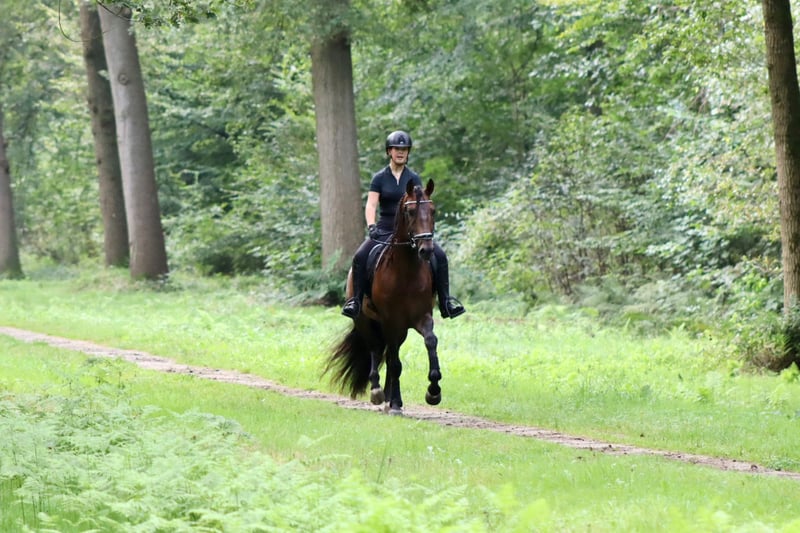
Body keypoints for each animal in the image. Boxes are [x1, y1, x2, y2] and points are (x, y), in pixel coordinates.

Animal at [326, 178, 441, 415]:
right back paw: (379, 393)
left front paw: (433, 391)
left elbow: (430, 341)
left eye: (433, 210)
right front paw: (395, 403)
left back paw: (389, 397)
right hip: (366, 321)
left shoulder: (422, 317)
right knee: (377, 350)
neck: (406, 272)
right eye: (410, 211)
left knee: (388, 354)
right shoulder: (391, 321)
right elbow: (395, 362)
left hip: (399, 330)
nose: (426, 250)